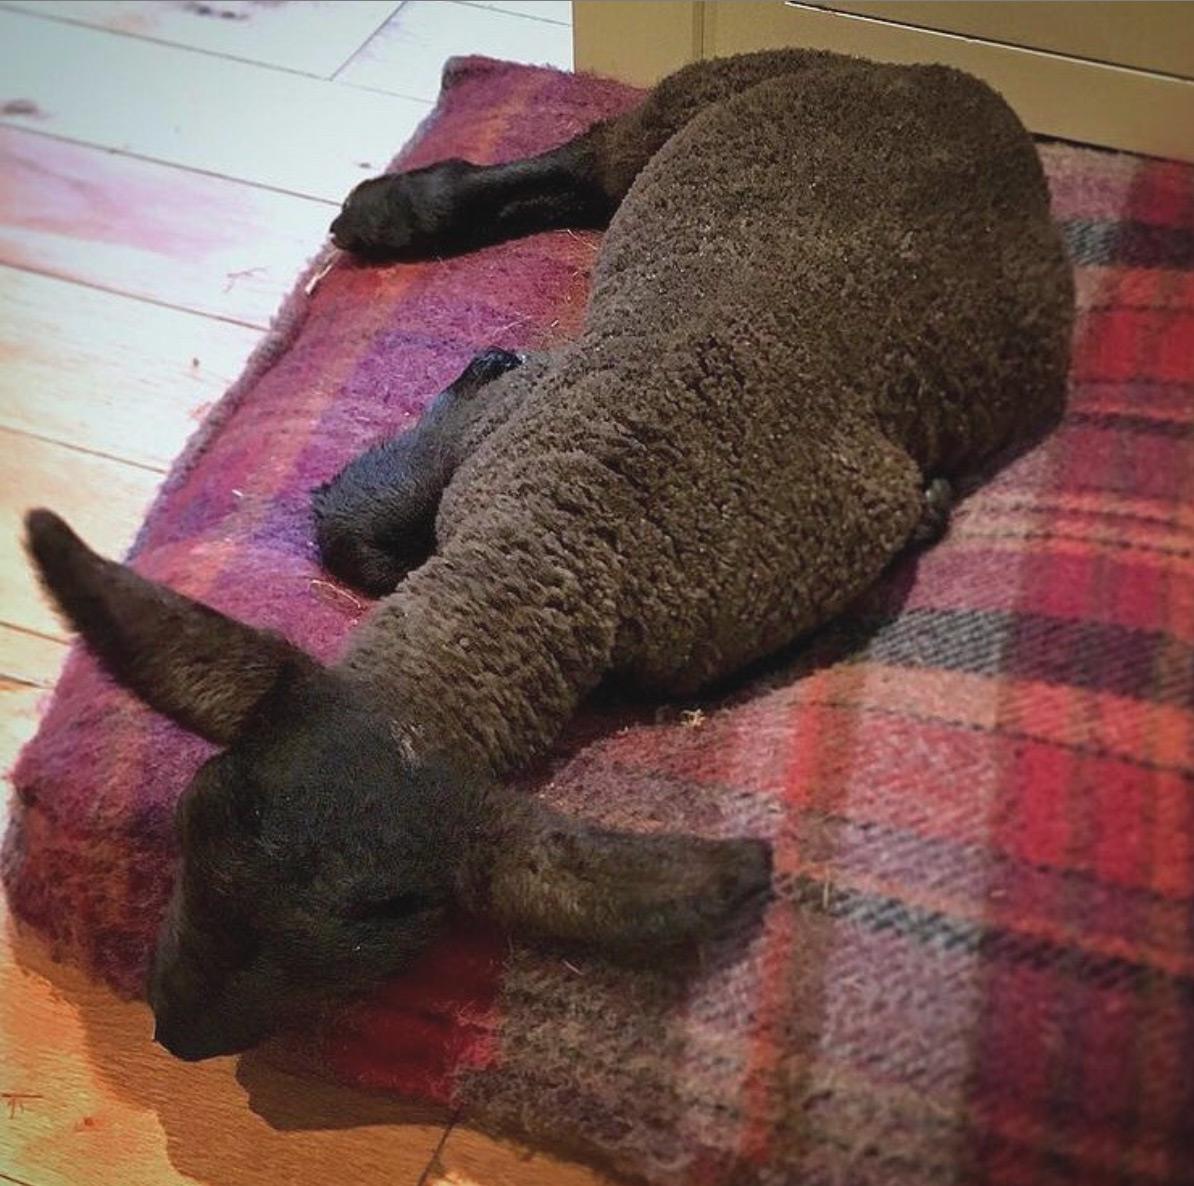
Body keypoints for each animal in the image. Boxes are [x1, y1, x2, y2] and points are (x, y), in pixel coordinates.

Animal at [21, 50, 1074, 1060]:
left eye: (386, 929)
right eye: (192, 819)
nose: (173, 1034)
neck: (559, 539)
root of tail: (946, 82)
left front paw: (931, 512)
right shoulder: (499, 438)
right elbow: (351, 526)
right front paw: (467, 376)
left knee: (590, 182)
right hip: (710, 93)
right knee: (586, 165)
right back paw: (392, 212)